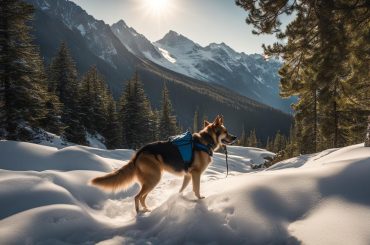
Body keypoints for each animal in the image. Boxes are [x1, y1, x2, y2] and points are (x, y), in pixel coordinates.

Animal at [91, 115, 238, 212]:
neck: (205, 141)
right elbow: (196, 189)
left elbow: (181, 189)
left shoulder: (188, 175)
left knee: (142, 198)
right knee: (137, 197)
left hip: (151, 181)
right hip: (154, 179)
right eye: (225, 132)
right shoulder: (196, 174)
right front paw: (200, 200)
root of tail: (139, 153)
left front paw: (179, 198)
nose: (235, 137)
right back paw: (140, 212)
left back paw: (146, 210)